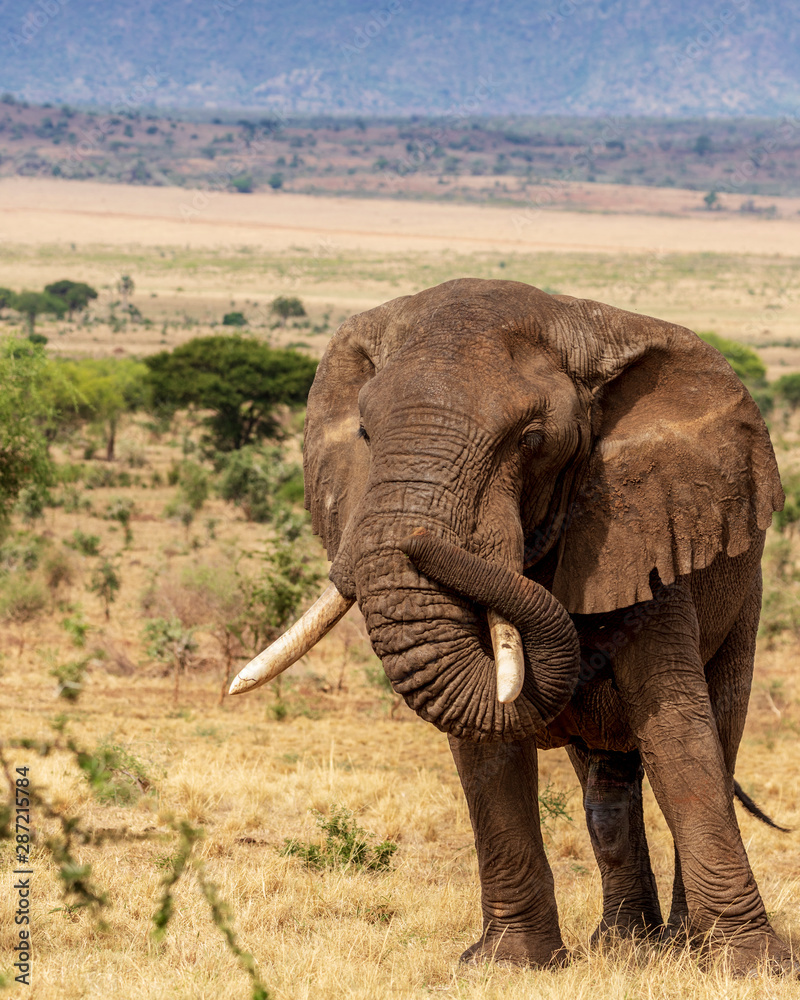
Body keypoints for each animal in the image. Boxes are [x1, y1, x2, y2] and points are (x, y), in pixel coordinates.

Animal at [230, 278, 793, 974]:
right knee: (605, 788)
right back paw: (628, 948)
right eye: (364, 430)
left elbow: (677, 730)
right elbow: (485, 740)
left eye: (531, 440)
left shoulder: (645, 530)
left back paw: (676, 946)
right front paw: (510, 963)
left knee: (716, 727)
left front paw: (749, 968)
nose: (419, 542)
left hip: (745, 599)